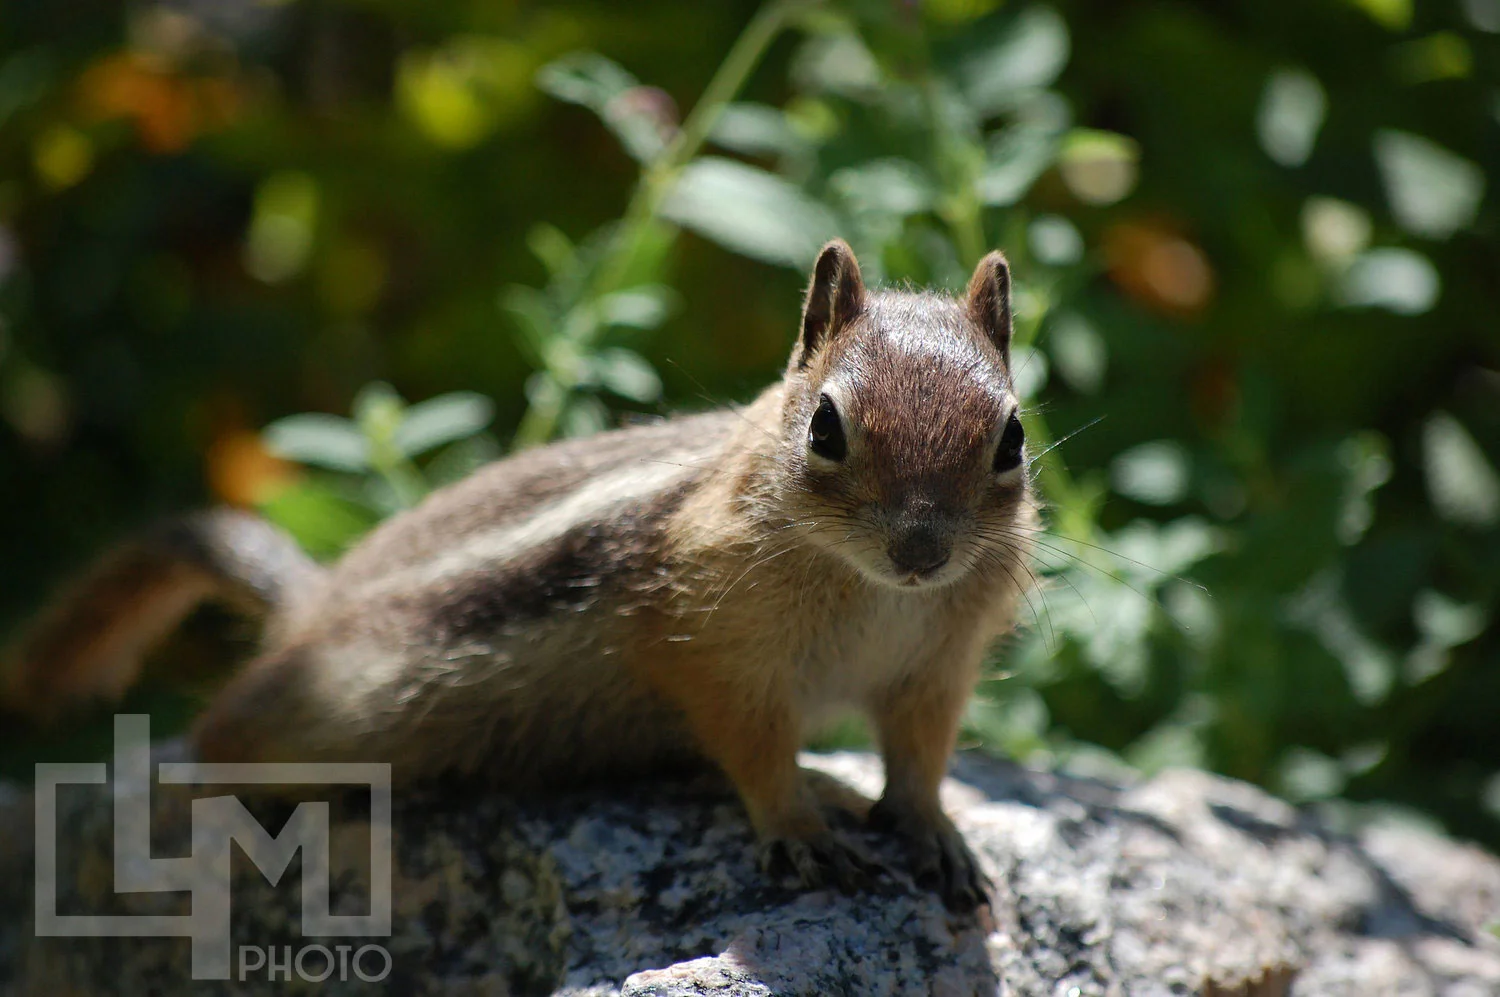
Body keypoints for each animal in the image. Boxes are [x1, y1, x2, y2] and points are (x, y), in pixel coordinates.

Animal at [3, 240, 1035, 911]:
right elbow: (753, 746)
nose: (922, 551)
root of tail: (312, 604)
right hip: (337, 705)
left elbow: (919, 755)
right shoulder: (712, 644)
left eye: (1012, 437)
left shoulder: (935, 670)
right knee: (226, 732)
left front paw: (931, 829)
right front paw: (800, 829)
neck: (877, 596)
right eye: (825, 428)